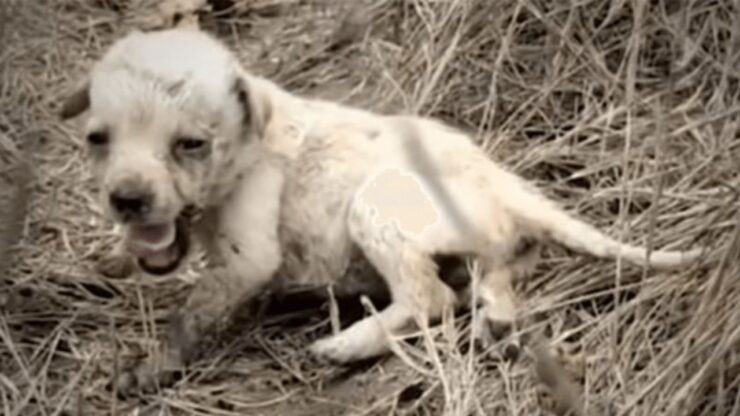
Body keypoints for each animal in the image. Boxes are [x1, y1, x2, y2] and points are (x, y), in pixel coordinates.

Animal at [60, 28, 704, 394]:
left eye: (191, 144)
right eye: (97, 139)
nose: (127, 200)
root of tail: (506, 185)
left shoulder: (248, 255)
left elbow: (189, 316)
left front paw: (148, 370)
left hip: (374, 208)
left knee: (430, 299)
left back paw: (347, 344)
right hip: (487, 249)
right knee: (486, 283)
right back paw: (495, 327)